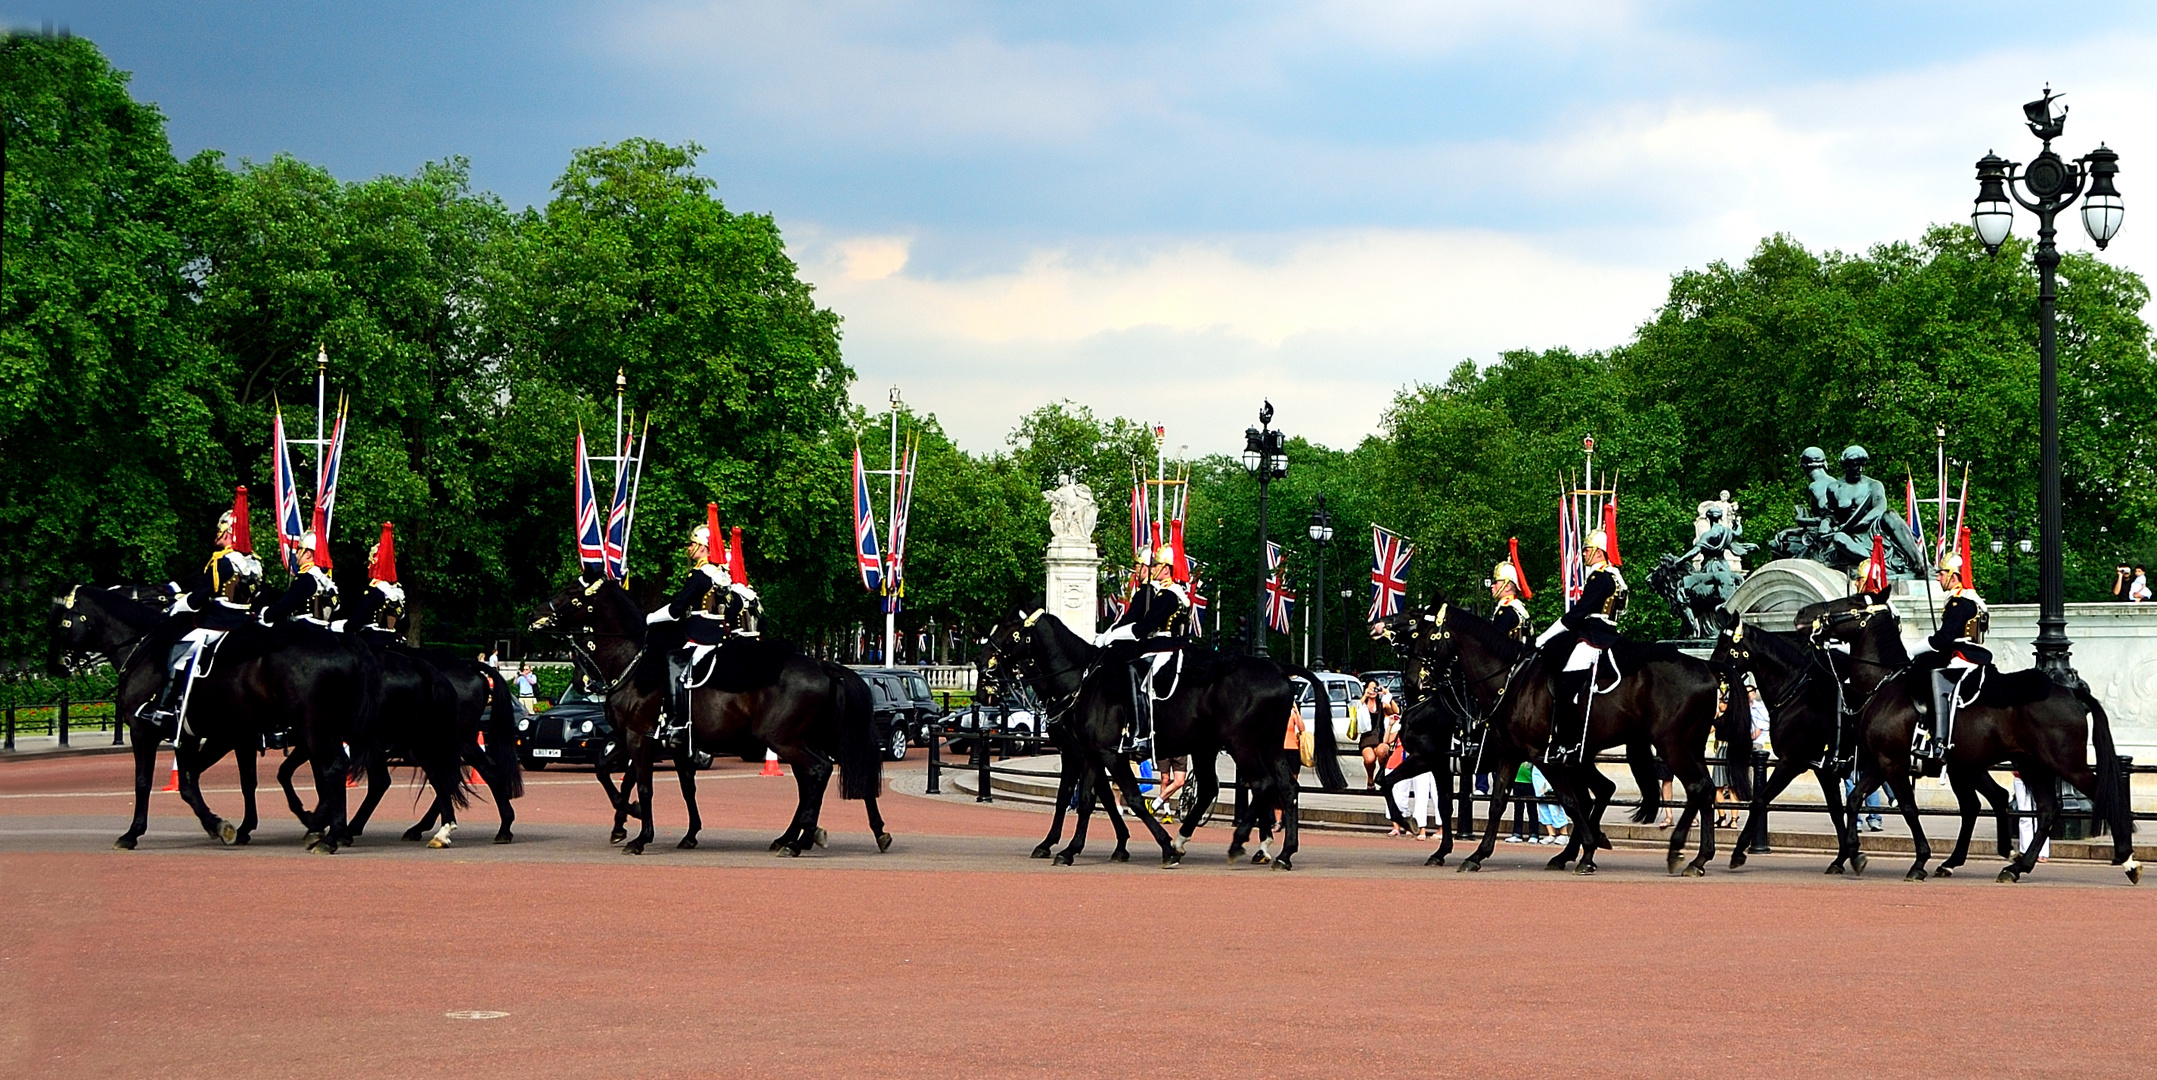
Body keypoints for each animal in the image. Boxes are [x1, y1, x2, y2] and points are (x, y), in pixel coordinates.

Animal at [50, 582, 379, 849]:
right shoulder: (201, 735)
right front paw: (228, 827)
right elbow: (198, 781)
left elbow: (145, 781)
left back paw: (330, 835)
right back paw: (330, 828)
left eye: (61, 621)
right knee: (337, 771)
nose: (55, 666)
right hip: (325, 729)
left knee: (333, 769)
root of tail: (344, 643)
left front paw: (132, 833)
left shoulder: (146, 731)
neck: (147, 648)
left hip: (313, 727)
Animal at [526, 573, 888, 857]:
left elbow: (643, 785)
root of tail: (823, 664)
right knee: (822, 778)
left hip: (785, 739)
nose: (535, 613)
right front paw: (645, 824)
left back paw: (801, 841)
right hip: (811, 738)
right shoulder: (642, 739)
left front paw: (641, 834)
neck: (634, 662)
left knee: (819, 771)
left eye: (572, 592)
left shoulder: (639, 736)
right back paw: (841, 833)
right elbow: (617, 774)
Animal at [974, 607, 1337, 866]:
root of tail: (1278, 669)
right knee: (1279, 787)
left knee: (1261, 784)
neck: (1082, 681)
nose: (981, 664)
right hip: (1256, 746)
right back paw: (1280, 853)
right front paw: (1070, 848)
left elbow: (1126, 797)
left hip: (1241, 744)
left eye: (1009, 631)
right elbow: (1088, 799)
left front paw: (1156, 847)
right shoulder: (1090, 753)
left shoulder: (1100, 752)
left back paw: (1238, 843)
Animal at [1708, 616, 1863, 866]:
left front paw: (1739, 851)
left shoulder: (1791, 763)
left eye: (1724, 644)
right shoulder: (1823, 768)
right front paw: (1842, 858)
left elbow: (1760, 800)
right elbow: (1836, 811)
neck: (1797, 694)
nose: (1711, 673)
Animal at [1803, 594, 2139, 879]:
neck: (1883, 684)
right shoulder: (1879, 763)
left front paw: (1919, 861)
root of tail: (2070, 691)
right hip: (2027, 764)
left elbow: (1908, 808)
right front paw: (1855, 854)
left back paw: (2127, 859)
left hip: (2062, 763)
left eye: (1850, 603)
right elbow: (1854, 799)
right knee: (2044, 810)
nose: (1805, 616)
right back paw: (2014, 867)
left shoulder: (1892, 763)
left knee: (2101, 793)